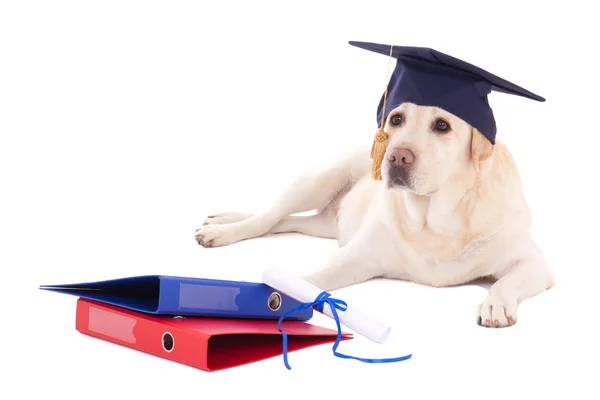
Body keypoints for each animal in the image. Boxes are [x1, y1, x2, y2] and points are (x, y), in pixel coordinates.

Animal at [195, 101, 556, 328]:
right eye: (396, 119)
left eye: (442, 125)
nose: (396, 157)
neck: (436, 220)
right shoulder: (357, 258)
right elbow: (307, 279)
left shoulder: (533, 263)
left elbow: (507, 281)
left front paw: (495, 304)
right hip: (318, 180)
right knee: (268, 216)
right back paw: (221, 228)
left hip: (324, 223)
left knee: (287, 221)